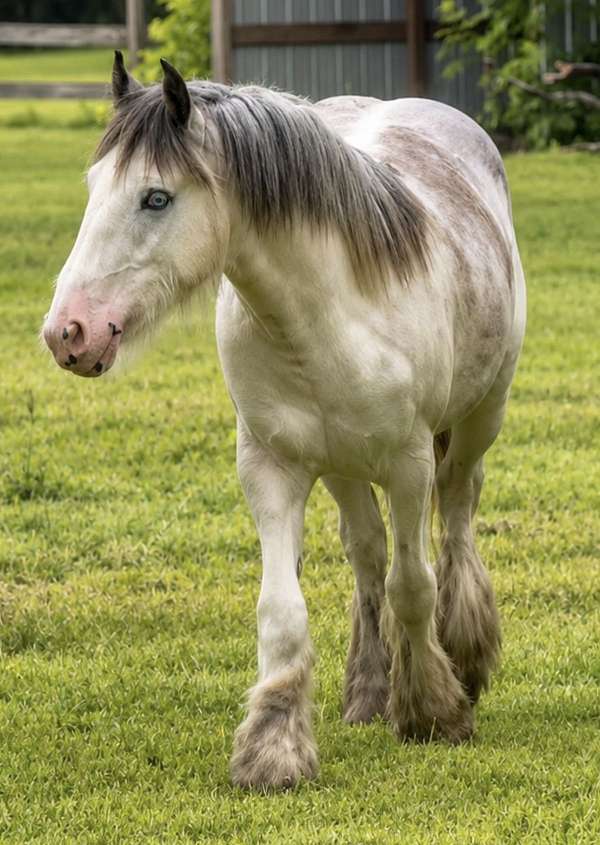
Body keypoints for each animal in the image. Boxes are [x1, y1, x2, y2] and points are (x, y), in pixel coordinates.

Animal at [43, 52, 526, 790]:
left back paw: (464, 659)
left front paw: (434, 712)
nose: (68, 332)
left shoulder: (409, 465)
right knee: (366, 554)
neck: (330, 314)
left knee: (456, 516)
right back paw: (368, 690)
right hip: (343, 467)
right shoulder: (271, 467)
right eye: (96, 186)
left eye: (156, 197)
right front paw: (274, 746)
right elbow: (283, 611)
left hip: (477, 422)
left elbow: (413, 586)